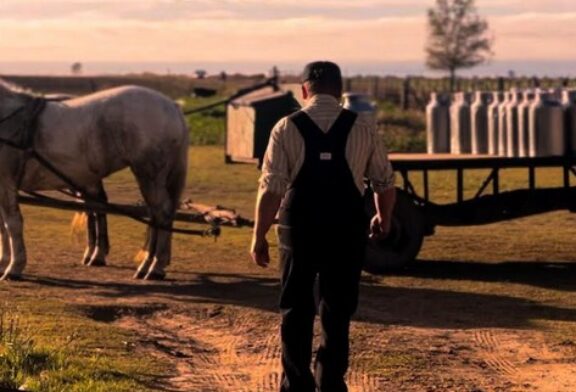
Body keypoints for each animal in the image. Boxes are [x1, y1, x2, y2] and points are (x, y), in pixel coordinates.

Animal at [0, 79, 189, 280]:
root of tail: (171, 105)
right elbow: (3, 226)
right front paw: (4, 263)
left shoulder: (6, 183)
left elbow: (12, 224)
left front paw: (14, 267)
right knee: (152, 215)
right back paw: (145, 265)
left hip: (149, 174)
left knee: (161, 213)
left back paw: (154, 268)